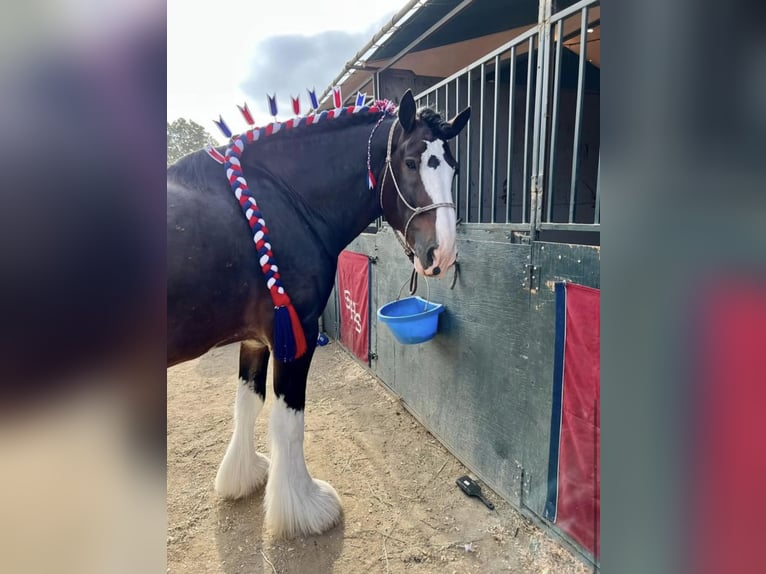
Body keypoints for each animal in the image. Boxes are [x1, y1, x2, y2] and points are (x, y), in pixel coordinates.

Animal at [166, 90, 468, 540]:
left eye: (453, 167)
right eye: (412, 162)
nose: (442, 254)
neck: (278, 203)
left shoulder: (255, 339)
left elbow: (247, 404)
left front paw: (244, 476)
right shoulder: (296, 334)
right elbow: (289, 422)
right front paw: (303, 508)